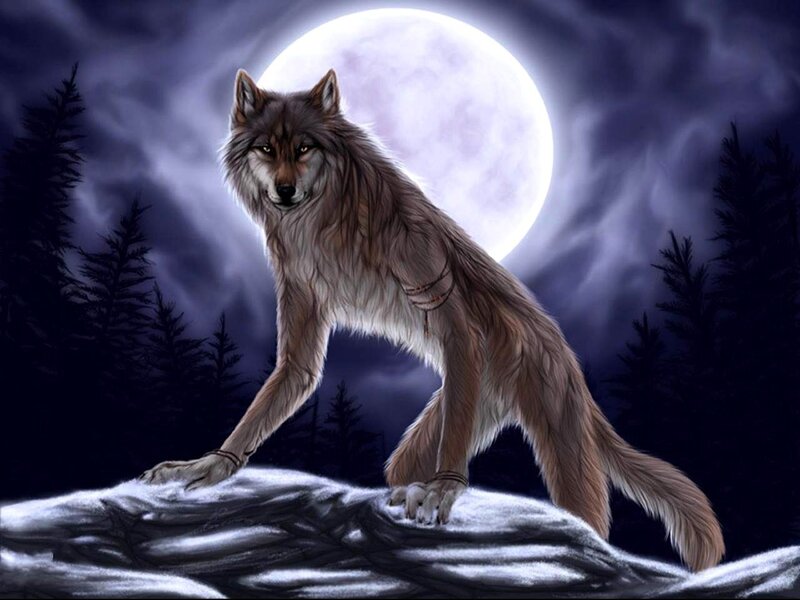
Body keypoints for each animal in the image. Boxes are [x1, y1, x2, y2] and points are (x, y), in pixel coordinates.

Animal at [141, 69, 725, 571]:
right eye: (267, 148)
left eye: (304, 148)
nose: (284, 189)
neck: (322, 224)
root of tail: (567, 355)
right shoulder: (300, 311)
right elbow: (287, 383)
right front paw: (208, 465)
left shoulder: (444, 304)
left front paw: (445, 487)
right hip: (442, 424)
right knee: (401, 471)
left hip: (549, 442)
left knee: (589, 520)